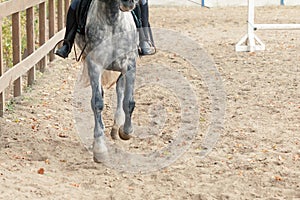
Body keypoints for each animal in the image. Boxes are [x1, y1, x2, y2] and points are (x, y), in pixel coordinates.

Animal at [76, 0, 139, 162]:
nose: (129, 3)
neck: (113, 20)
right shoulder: (95, 66)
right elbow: (97, 103)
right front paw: (99, 148)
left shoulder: (129, 65)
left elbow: (129, 102)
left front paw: (126, 132)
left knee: (120, 90)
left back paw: (117, 127)